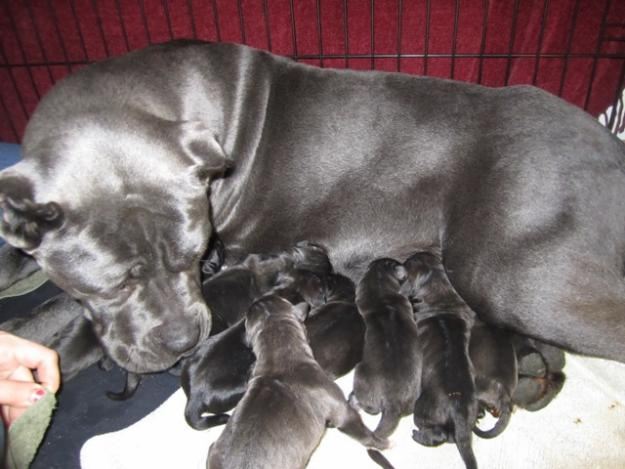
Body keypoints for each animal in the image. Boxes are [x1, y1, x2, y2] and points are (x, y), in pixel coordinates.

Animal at [1, 40, 624, 372]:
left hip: (512, 273)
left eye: (195, 256)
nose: (184, 341)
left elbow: (55, 302)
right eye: (115, 284)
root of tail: (610, 145)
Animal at [404, 252, 478, 468]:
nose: (404, 259)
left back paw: (418, 435)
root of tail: (457, 410)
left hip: (422, 411)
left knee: (439, 434)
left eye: (409, 262)